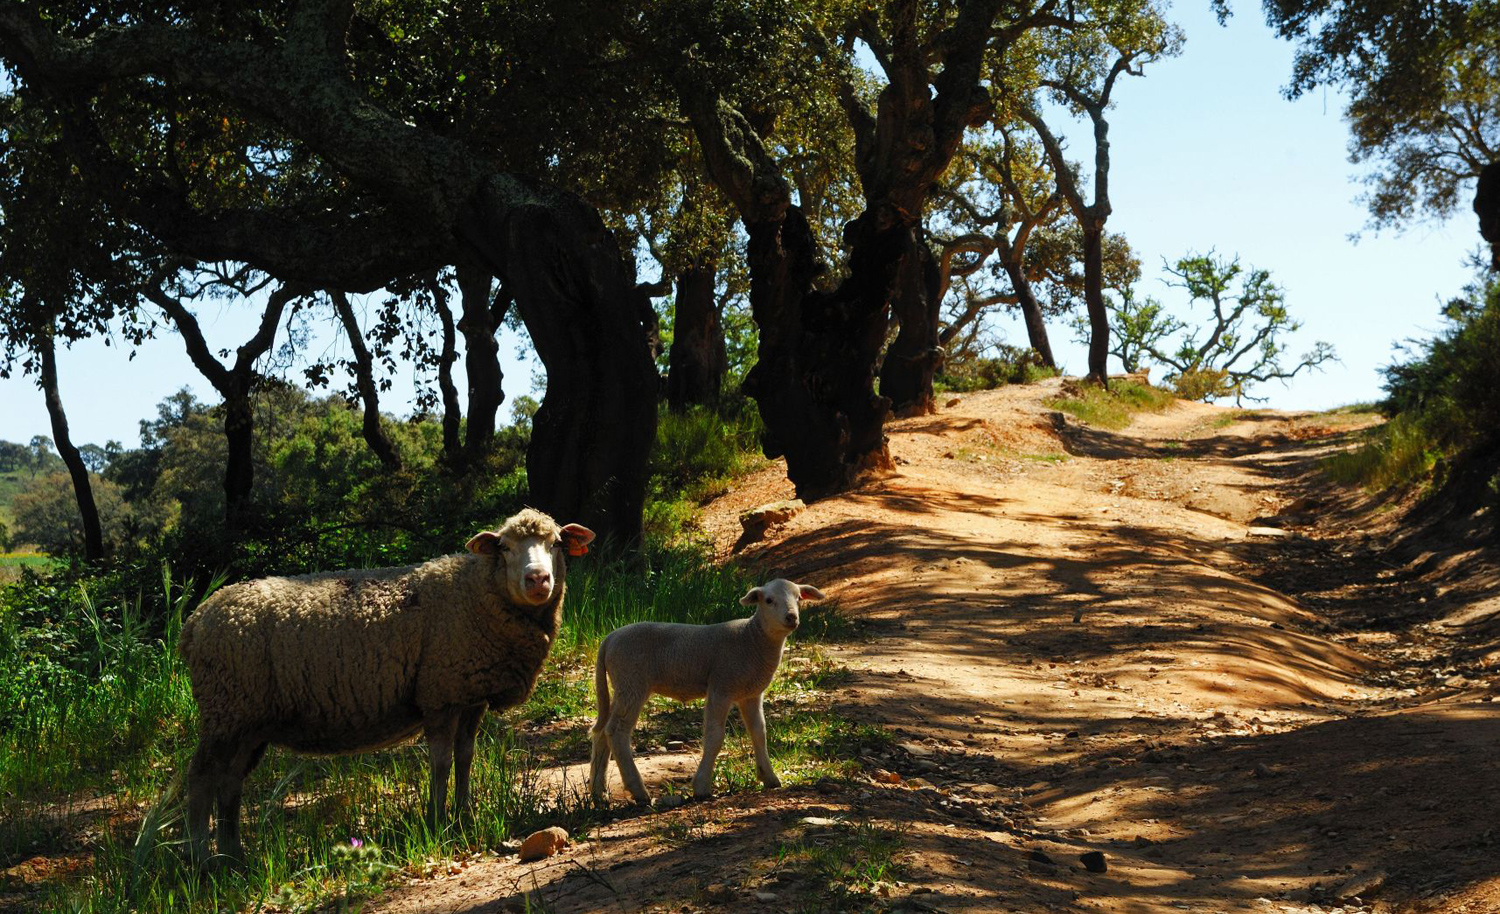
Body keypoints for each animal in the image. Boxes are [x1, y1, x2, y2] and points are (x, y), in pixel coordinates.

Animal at [177, 507, 597, 864]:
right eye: (505, 547)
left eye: (556, 543)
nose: (538, 579)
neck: (475, 592)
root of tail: (195, 622)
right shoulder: (439, 694)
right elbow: (441, 761)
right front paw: (438, 819)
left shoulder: (469, 694)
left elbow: (465, 757)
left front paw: (464, 815)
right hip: (226, 709)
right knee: (201, 779)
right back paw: (202, 859)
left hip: (246, 721)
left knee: (230, 783)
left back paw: (233, 856)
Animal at [585, 576, 828, 804]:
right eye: (768, 600)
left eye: (798, 598)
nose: (791, 617)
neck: (750, 639)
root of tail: (608, 639)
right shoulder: (721, 686)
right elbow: (715, 736)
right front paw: (701, 787)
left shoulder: (751, 693)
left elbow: (759, 732)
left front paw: (769, 778)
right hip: (632, 682)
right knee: (616, 731)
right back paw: (638, 791)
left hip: (622, 686)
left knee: (601, 732)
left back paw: (598, 793)